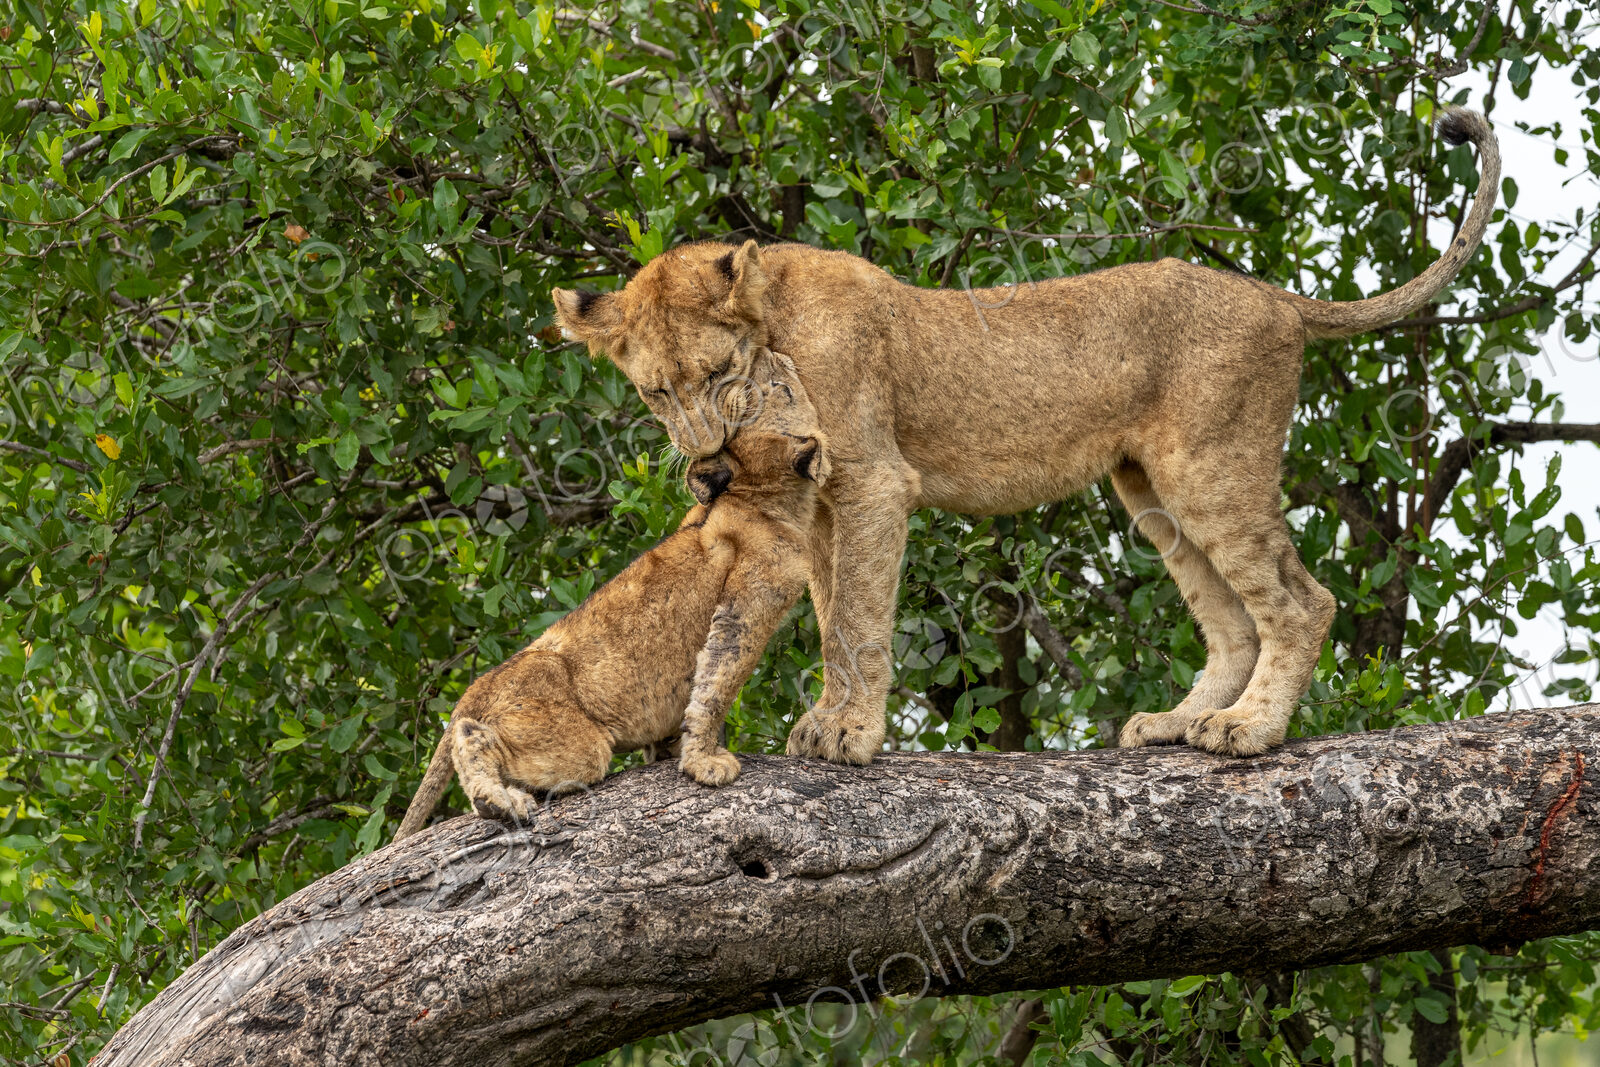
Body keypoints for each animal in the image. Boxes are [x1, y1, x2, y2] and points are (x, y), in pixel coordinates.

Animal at [394, 366, 827, 840]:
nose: (780, 376)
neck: (762, 495)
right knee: (475, 736)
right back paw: (499, 801)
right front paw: (705, 763)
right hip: (575, 744)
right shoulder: (747, 604)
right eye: (772, 394)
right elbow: (717, 684)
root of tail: (480, 684)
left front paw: (671, 752)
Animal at [551, 108, 1499, 761]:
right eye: (656, 391)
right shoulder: (819, 500)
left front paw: (851, 733)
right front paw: (827, 718)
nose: (703, 456)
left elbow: (855, 616)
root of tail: (1274, 295)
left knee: (1304, 602)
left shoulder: (872, 479)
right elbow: (826, 613)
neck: (774, 324)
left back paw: (1248, 730)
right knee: (1232, 621)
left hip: (1211, 467)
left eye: (718, 375)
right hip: (1150, 488)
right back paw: (1179, 722)